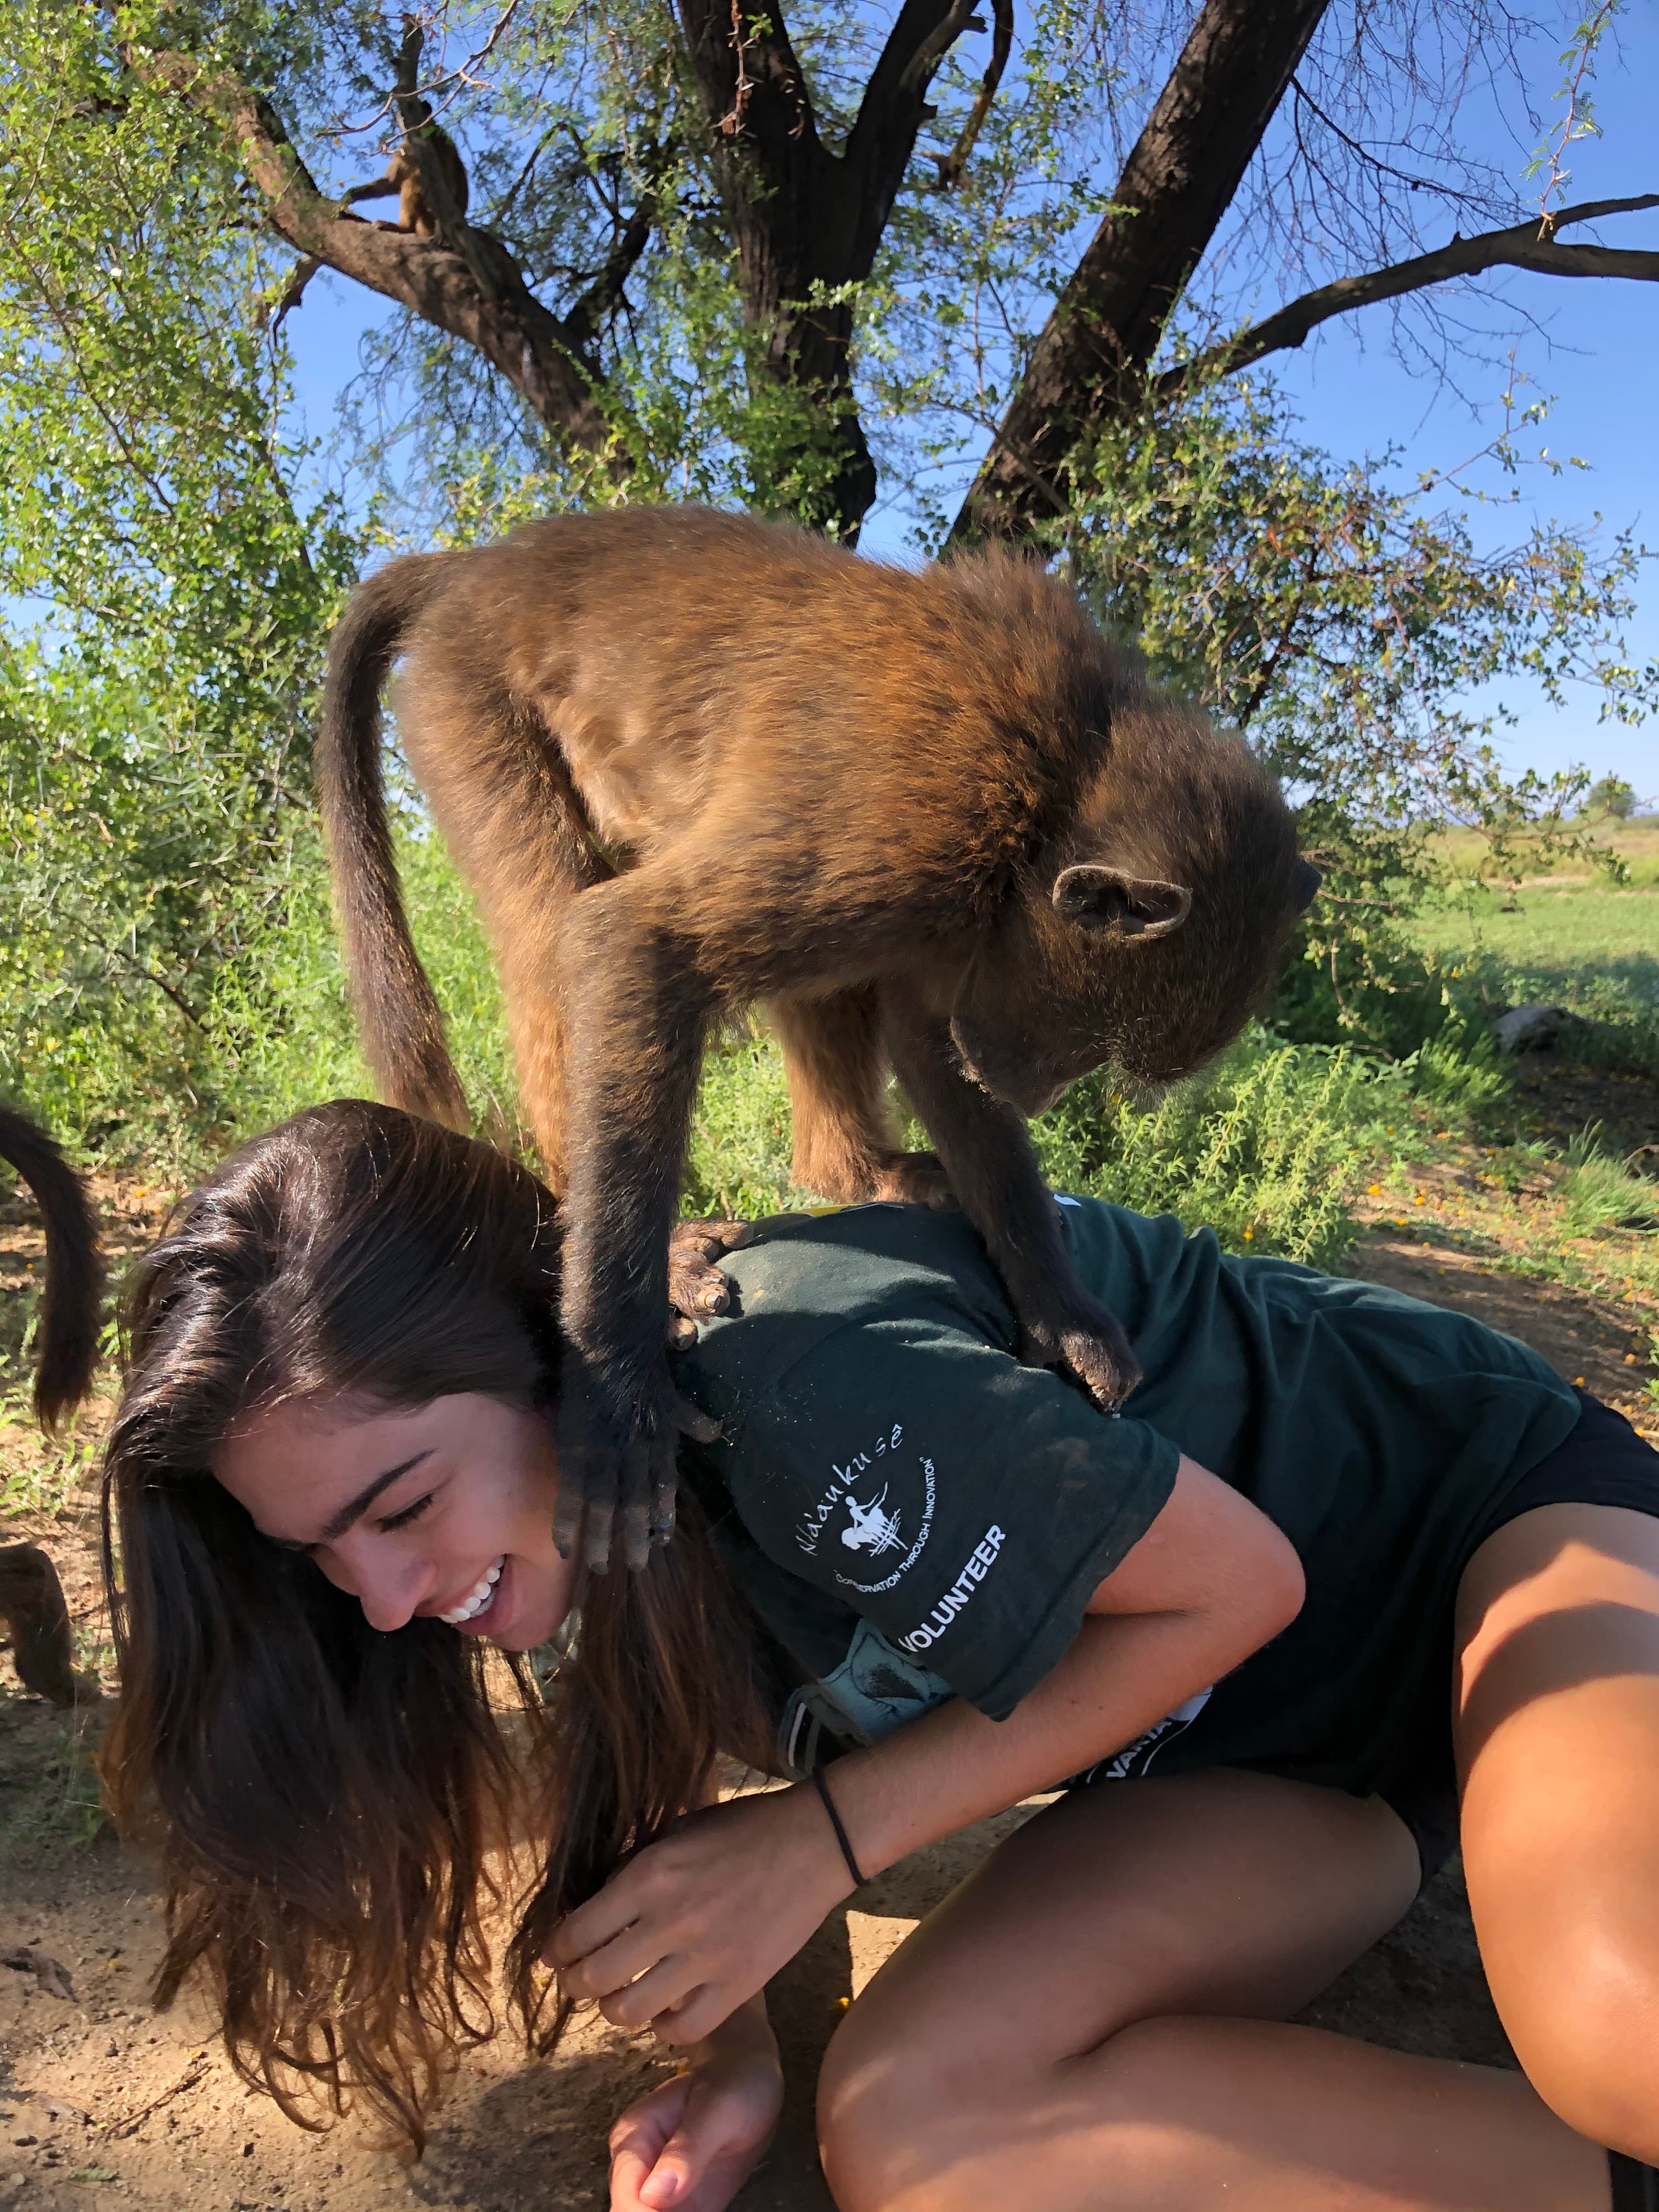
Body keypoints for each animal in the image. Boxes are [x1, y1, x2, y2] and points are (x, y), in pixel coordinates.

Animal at [318, 506, 1320, 1573]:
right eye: (1092, 1047)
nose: (1032, 1094)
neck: (1064, 774)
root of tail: (481, 566)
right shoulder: (918, 824)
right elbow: (633, 940)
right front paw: (618, 1394)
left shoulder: (953, 918)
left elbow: (929, 1041)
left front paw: (1062, 1313)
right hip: (470, 703)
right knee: (553, 926)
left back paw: (856, 1174)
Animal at [339, 99, 469, 240]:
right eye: (401, 113)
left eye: (411, 110)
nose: (404, 118)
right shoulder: (405, 148)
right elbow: (391, 183)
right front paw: (351, 195)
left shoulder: (440, 141)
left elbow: (448, 185)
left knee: (416, 181)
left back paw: (406, 227)